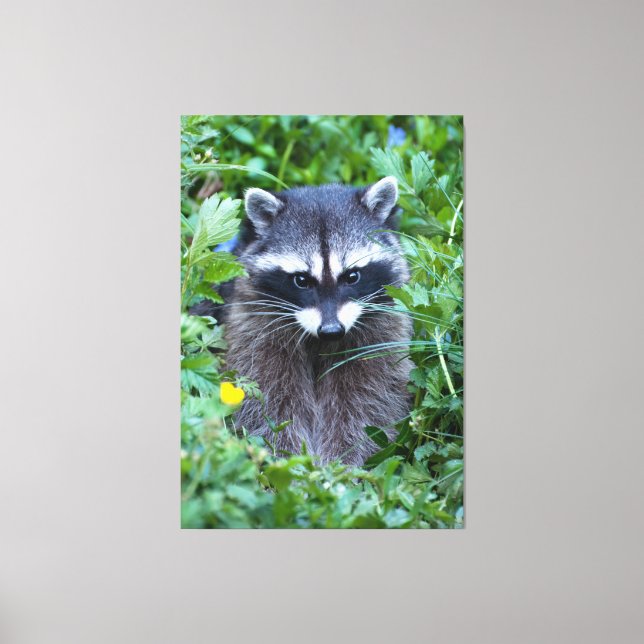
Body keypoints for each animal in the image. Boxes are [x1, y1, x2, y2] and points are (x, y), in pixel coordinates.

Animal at [212, 176, 412, 466]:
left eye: (352, 276)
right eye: (301, 280)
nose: (331, 330)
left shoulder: (380, 328)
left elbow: (367, 396)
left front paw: (343, 461)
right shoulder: (254, 323)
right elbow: (268, 396)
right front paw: (289, 460)